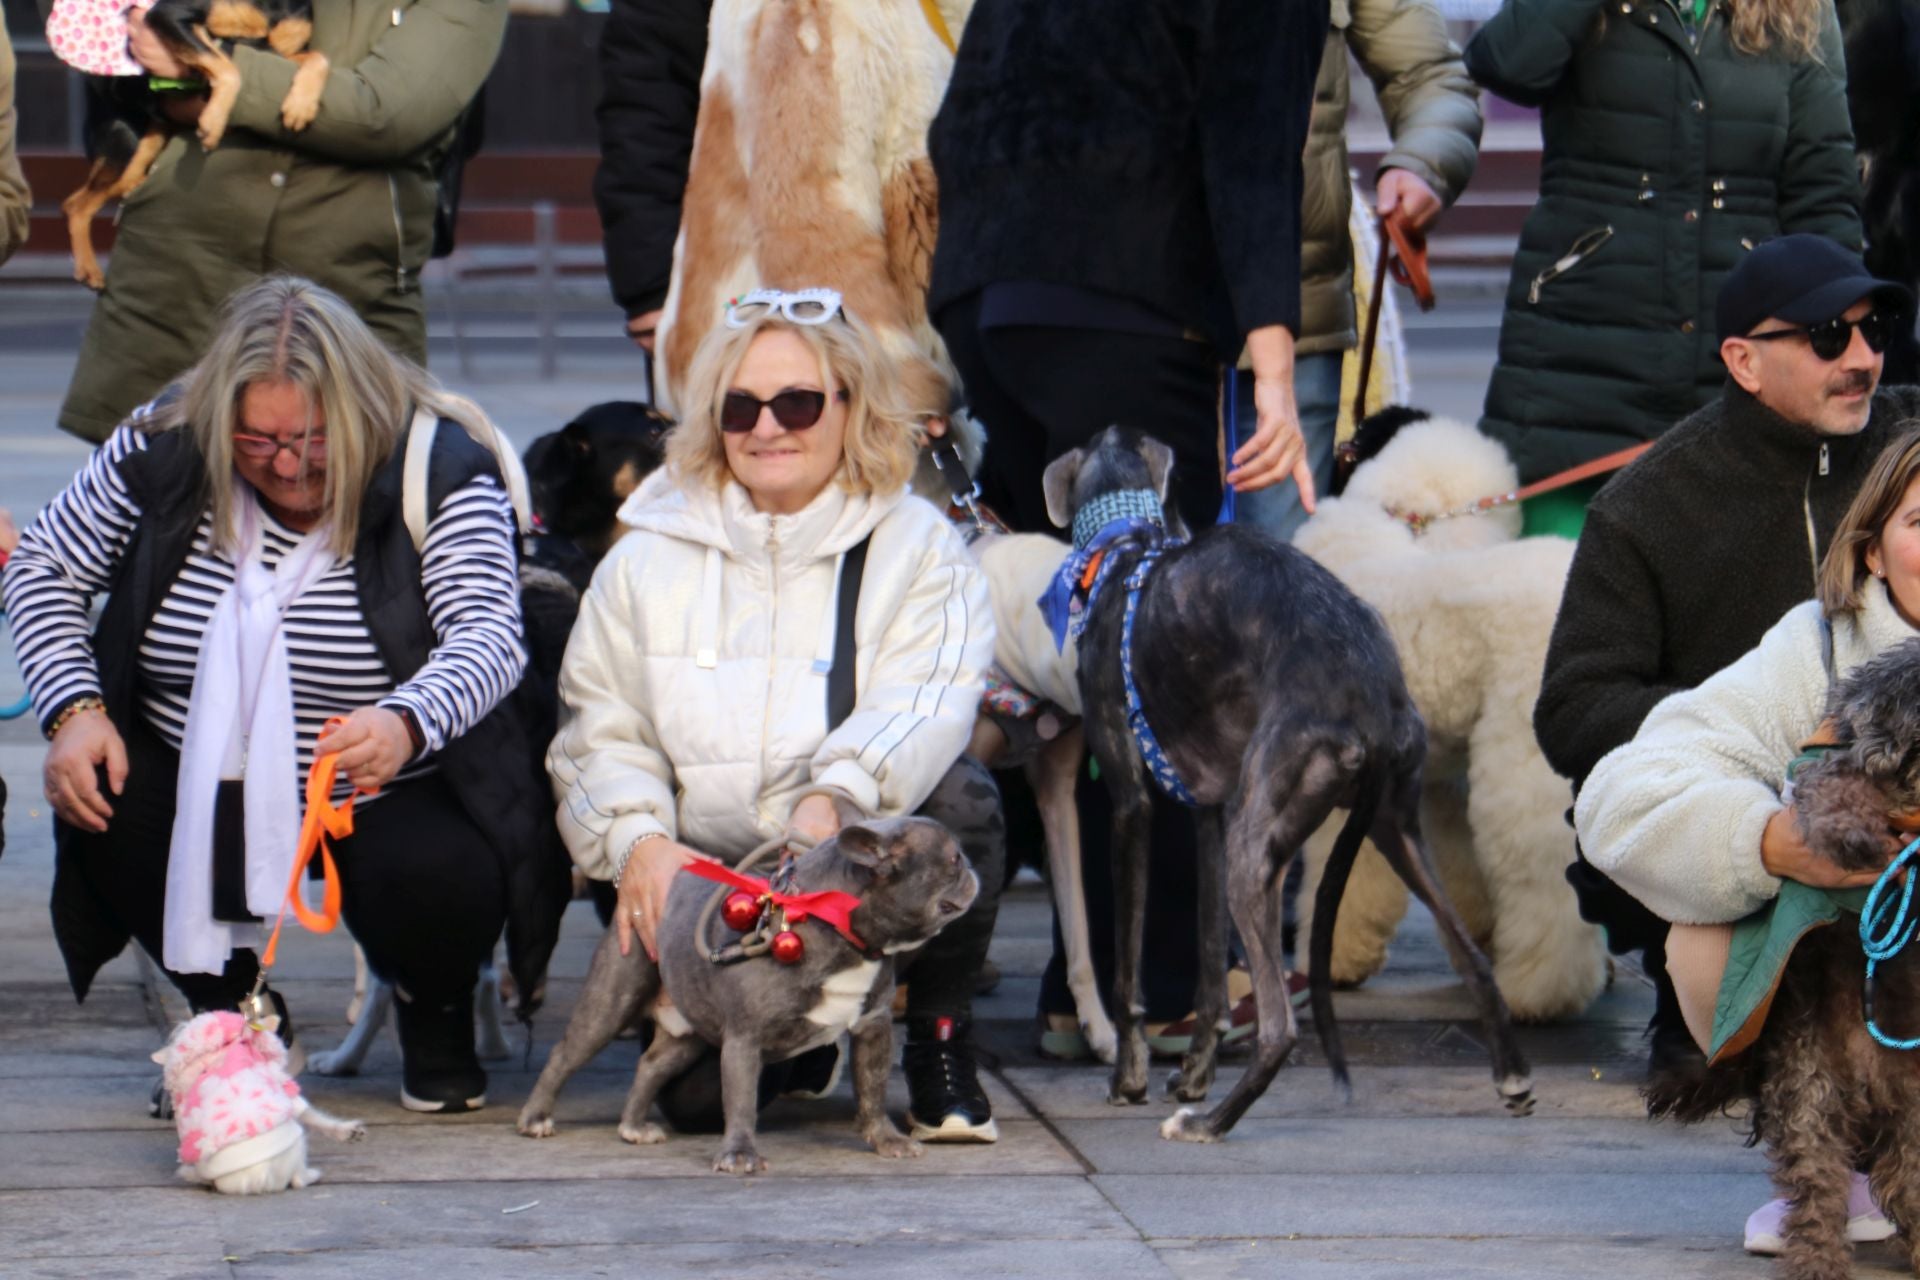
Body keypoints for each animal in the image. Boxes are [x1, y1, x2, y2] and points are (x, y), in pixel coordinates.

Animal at [153, 1013, 362, 1197]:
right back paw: (312, 1175)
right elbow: (315, 1116)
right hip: (296, 1141)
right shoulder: (285, 1089)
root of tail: (256, 1180)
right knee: (298, 1179)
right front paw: (345, 1130)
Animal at [1044, 427, 1536, 1143]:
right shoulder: (1212, 814)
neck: (1127, 545)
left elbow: (1129, 971)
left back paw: (1209, 1122)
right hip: (1388, 826)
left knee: (1280, 1028)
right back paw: (1513, 1078)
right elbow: (1209, 973)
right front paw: (1193, 1071)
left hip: (1260, 850)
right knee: (1473, 957)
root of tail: (1368, 702)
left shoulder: (1131, 804)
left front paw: (1129, 1079)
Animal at [1290, 416, 1605, 1028]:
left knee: (1546, 880)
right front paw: (1476, 932)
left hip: (1523, 755)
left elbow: (1343, 872)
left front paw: (1337, 958)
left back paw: (1535, 993)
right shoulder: (1438, 776)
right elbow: (1458, 864)